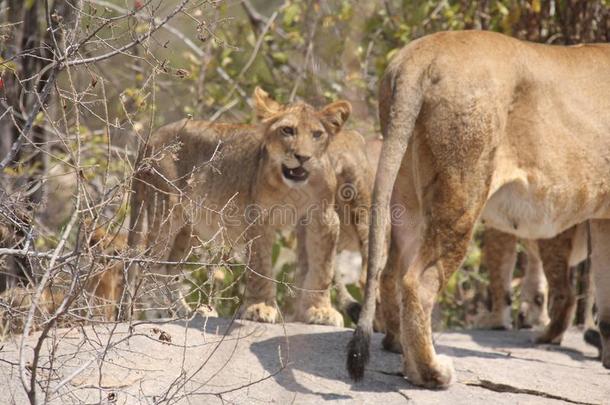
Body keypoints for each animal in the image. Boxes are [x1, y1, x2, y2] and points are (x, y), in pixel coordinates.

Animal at [126, 87, 370, 326]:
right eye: (287, 130)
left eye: (317, 134)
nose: (303, 157)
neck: (294, 187)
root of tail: (151, 138)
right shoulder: (258, 216)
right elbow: (260, 266)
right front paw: (259, 308)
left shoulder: (323, 218)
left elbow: (322, 268)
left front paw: (320, 311)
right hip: (167, 207)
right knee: (150, 266)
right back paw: (164, 312)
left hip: (188, 226)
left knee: (169, 269)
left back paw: (186, 312)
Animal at [346, 31, 608, 388]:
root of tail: (421, 55)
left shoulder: (603, 219)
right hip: (464, 193)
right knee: (418, 281)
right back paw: (432, 373)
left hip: (407, 191)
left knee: (392, 272)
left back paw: (405, 357)